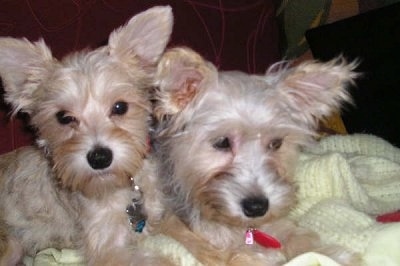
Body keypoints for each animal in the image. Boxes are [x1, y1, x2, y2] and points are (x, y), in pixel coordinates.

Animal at [0, 6, 173, 266]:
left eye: (120, 107)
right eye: (63, 117)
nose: (99, 157)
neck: (120, 186)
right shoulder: (107, 249)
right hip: (10, 245)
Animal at [152, 46, 360, 264]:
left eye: (276, 143)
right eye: (222, 142)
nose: (257, 208)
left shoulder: (276, 224)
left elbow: (298, 236)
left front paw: (330, 254)